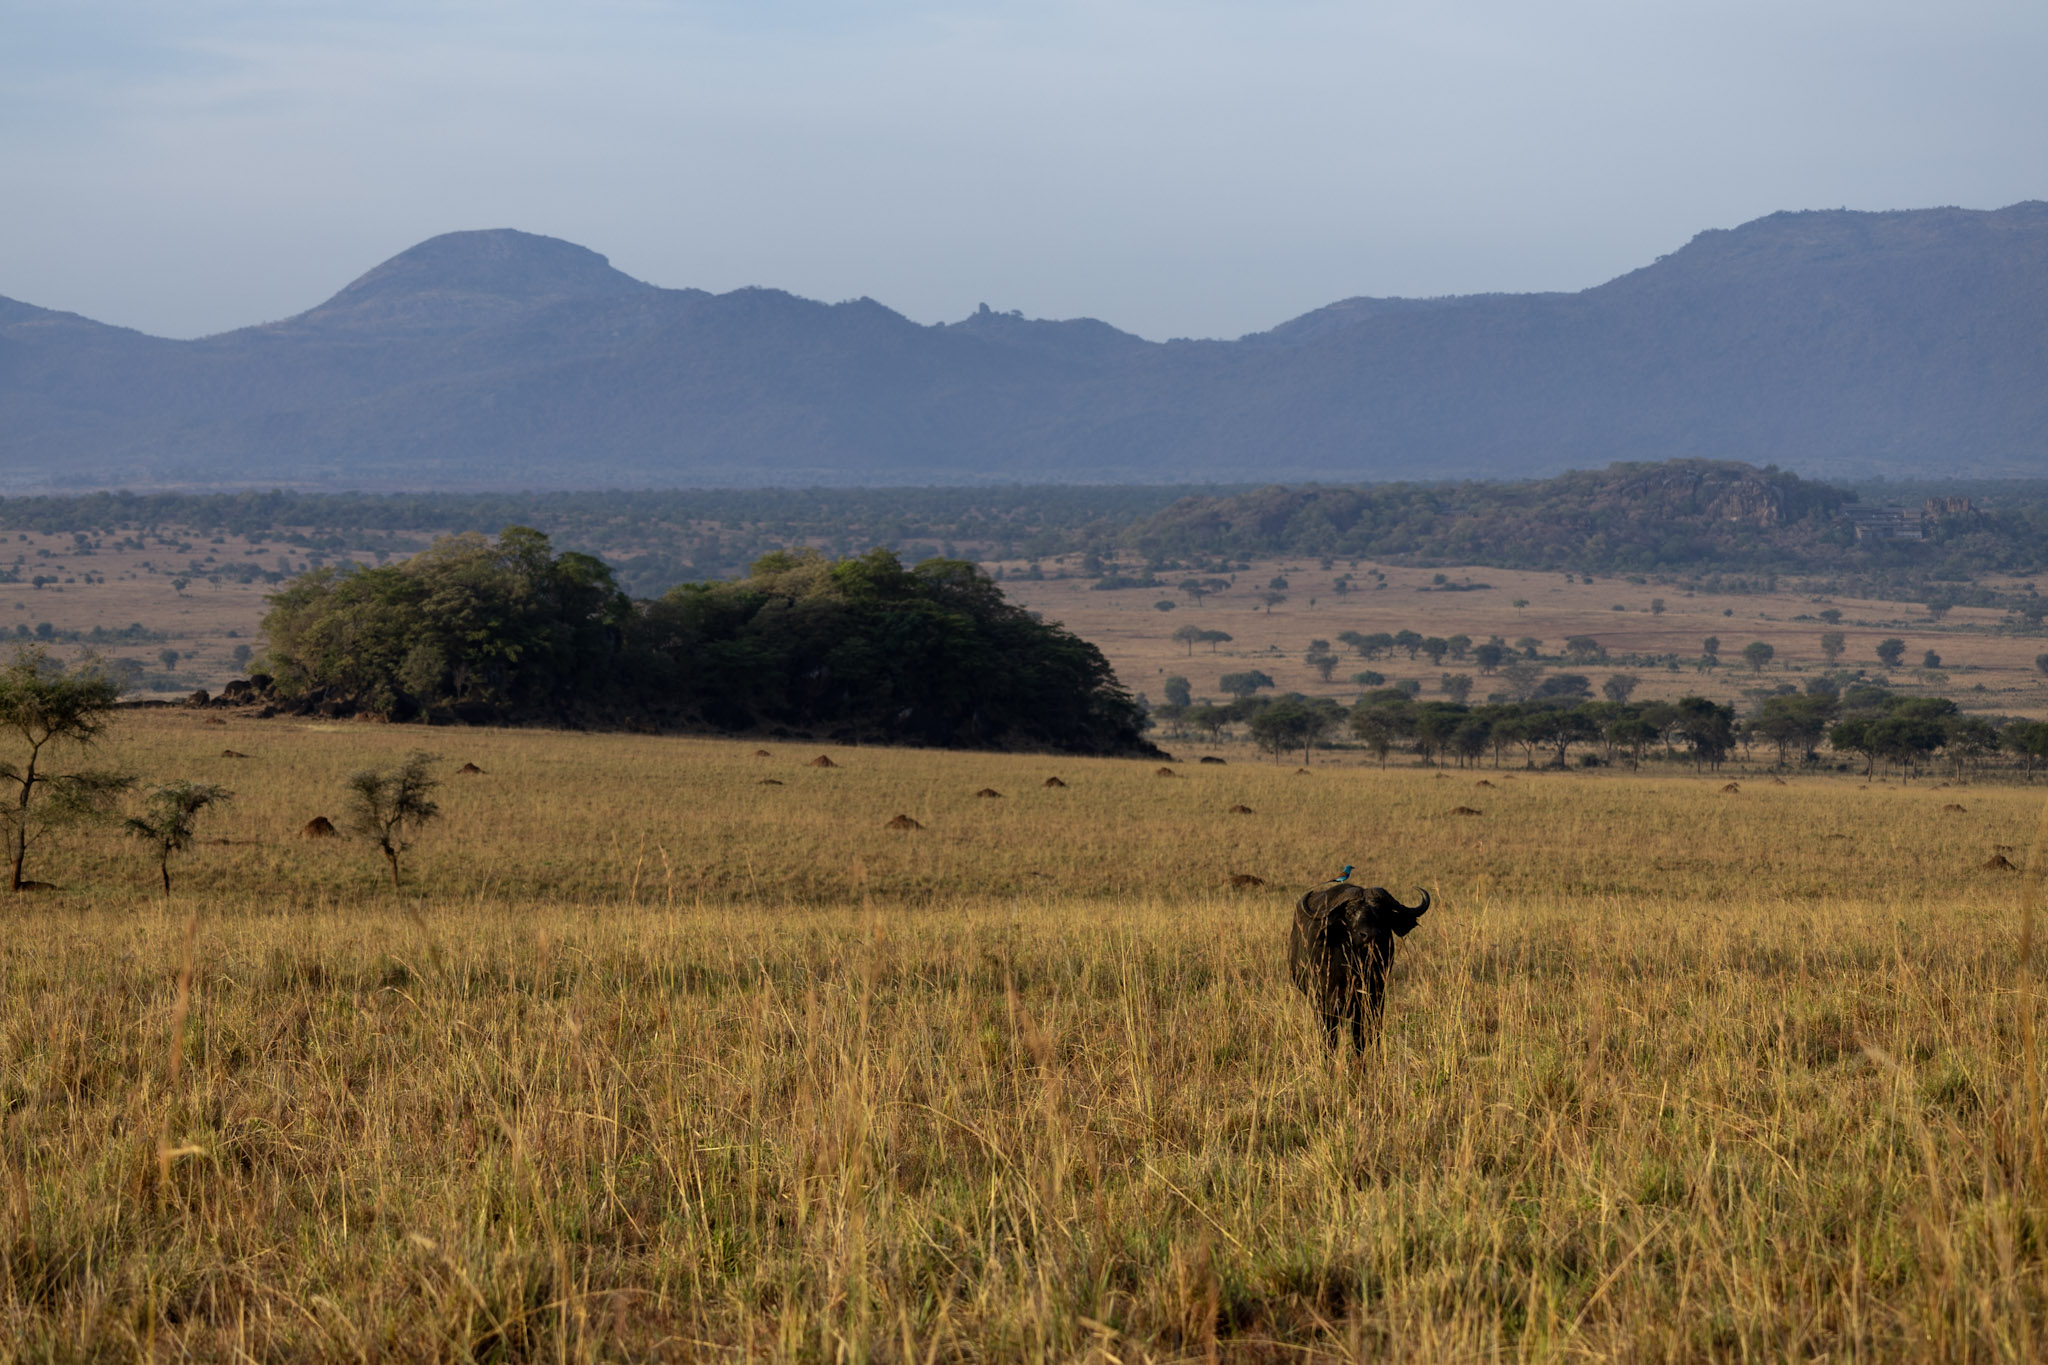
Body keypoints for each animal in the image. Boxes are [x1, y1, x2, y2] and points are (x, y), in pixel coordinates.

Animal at [1286, 879, 1433, 1055]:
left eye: (1381, 911)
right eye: (1350, 912)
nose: (1370, 935)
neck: (1353, 967)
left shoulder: (1373, 1000)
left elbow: (1363, 1038)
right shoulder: (1325, 1003)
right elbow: (1329, 1038)